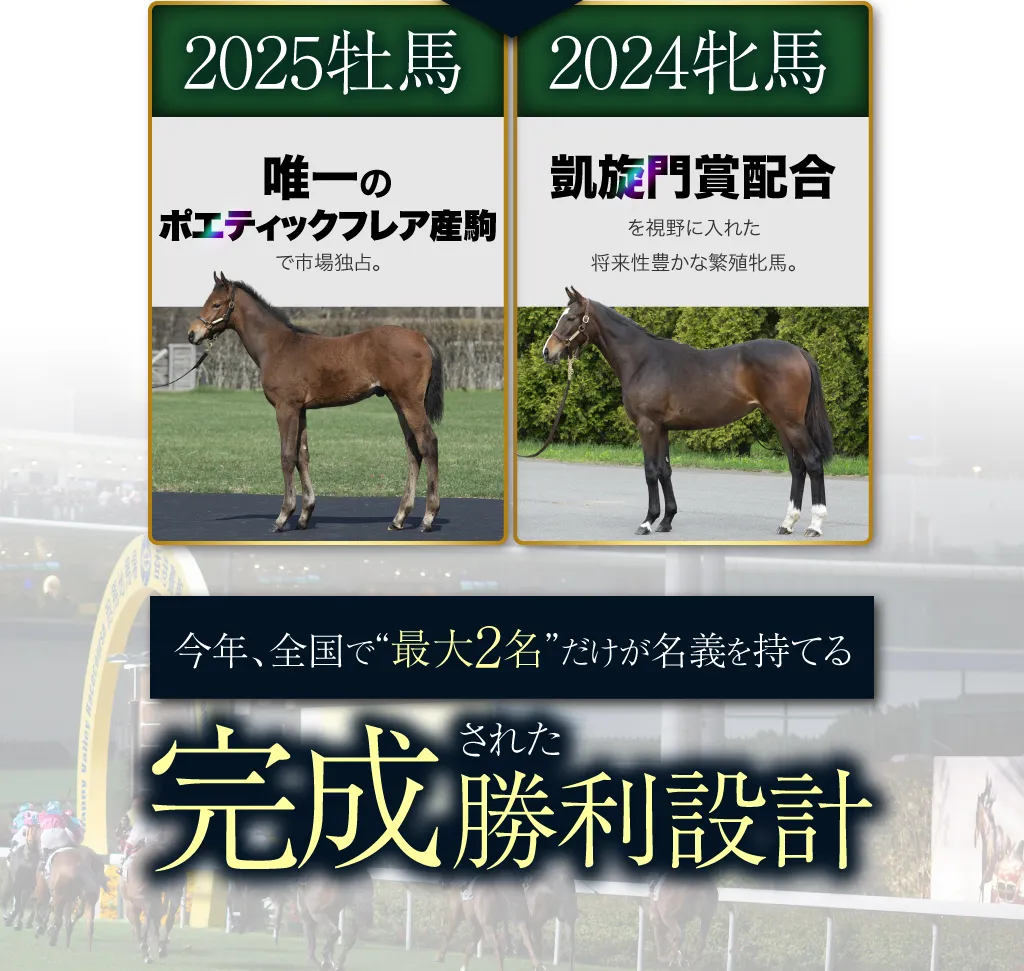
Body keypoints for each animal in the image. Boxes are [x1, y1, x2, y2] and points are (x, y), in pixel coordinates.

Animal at [187, 272, 445, 533]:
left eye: (216, 304)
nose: (192, 334)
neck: (278, 347)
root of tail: (422, 338)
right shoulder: (301, 410)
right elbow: (303, 456)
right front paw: (304, 515)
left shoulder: (286, 408)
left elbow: (287, 457)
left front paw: (283, 516)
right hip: (398, 403)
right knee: (413, 449)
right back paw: (399, 517)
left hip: (410, 402)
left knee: (428, 444)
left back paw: (428, 517)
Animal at [540, 287, 835, 538]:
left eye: (571, 317)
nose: (547, 352)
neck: (642, 361)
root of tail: (798, 351)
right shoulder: (662, 428)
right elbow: (665, 471)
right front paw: (667, 520)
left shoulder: (647, 426)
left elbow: (650, 471)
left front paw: (647, 522)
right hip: (781, 423)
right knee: (797, 466)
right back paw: (787, 523)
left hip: (791, 423)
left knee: (812, 461)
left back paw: (815, 525)